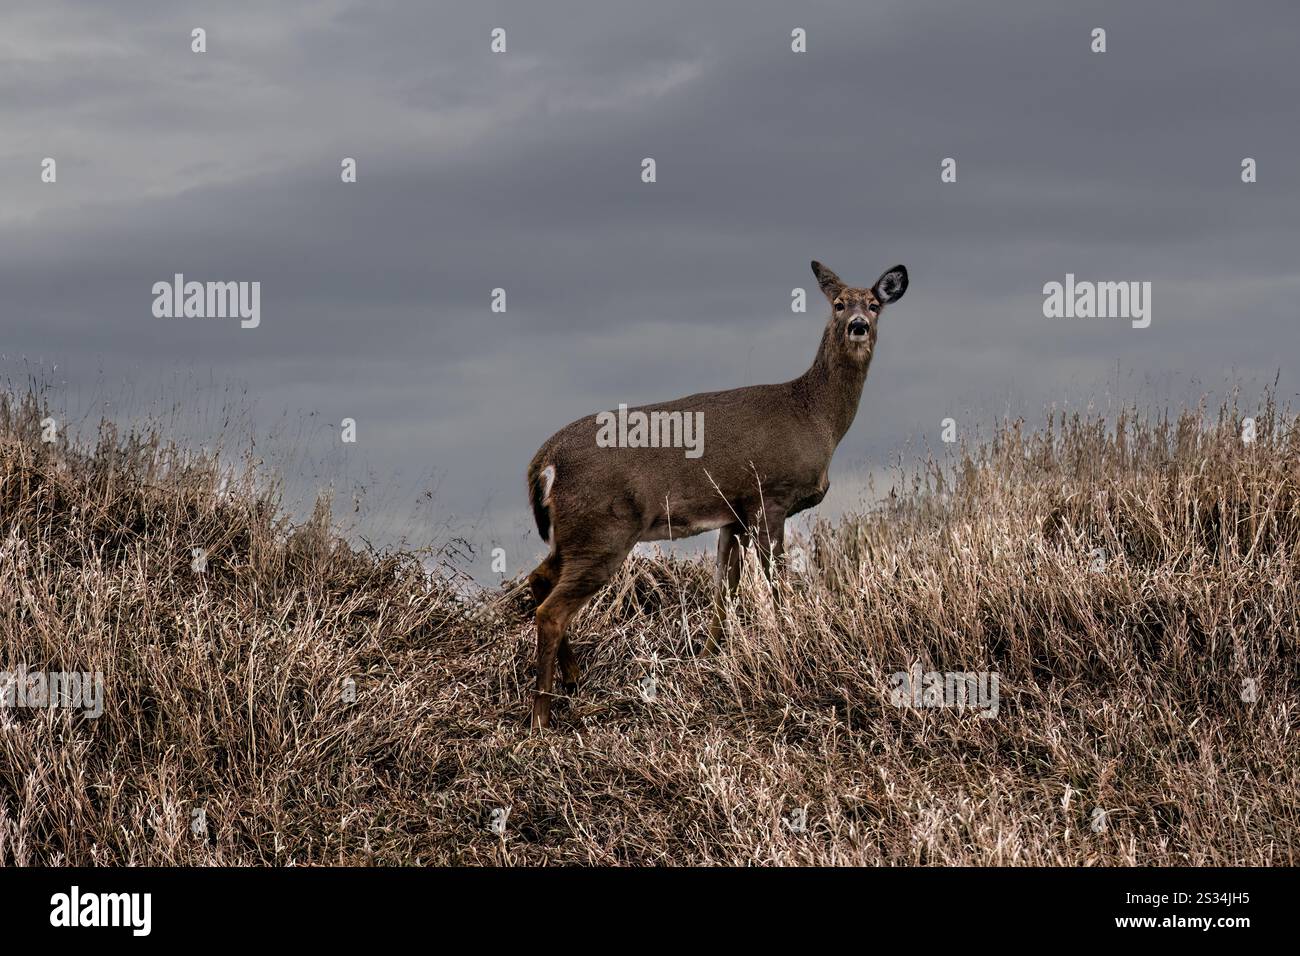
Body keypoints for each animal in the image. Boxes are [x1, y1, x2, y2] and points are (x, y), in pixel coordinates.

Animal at [523, 261, 908, 728]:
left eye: (873, 305)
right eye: (838, 303)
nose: (857, 325)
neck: (815, 416)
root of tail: (547, 458)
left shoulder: (734, 513)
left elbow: (725, 591)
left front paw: (708, 660)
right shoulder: (769, 498)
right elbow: (776, 584)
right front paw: (791, 637)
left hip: (575, 535)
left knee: (538, 579)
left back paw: (573, 678)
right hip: (604, 530)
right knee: (551, 610)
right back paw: (542, 715)